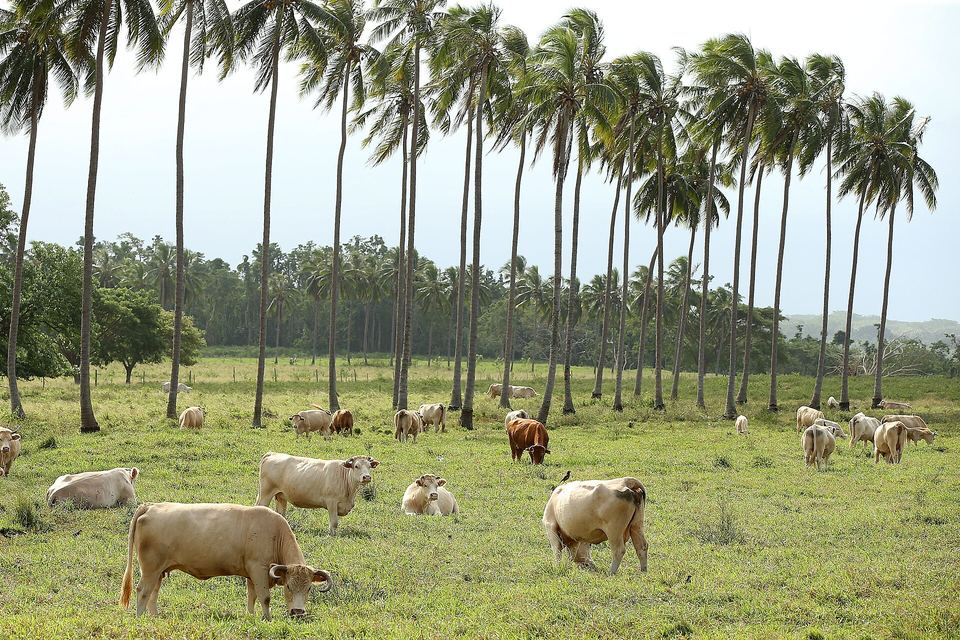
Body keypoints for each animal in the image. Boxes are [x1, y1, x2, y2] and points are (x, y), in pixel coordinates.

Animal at [119, 502, 331, 619]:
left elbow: (252, 597)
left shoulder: (251, 574)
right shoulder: (259, 569)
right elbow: (264, 597)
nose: (298, 612)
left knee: (153, 594)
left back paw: (154, 617)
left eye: (309, 588)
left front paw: (251, 617)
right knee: (143, 591)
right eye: (288, 586)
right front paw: (267, 619)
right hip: (150, 569)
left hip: (158, 571)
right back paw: (139, 618)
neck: (274, 532)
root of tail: (151, 506)